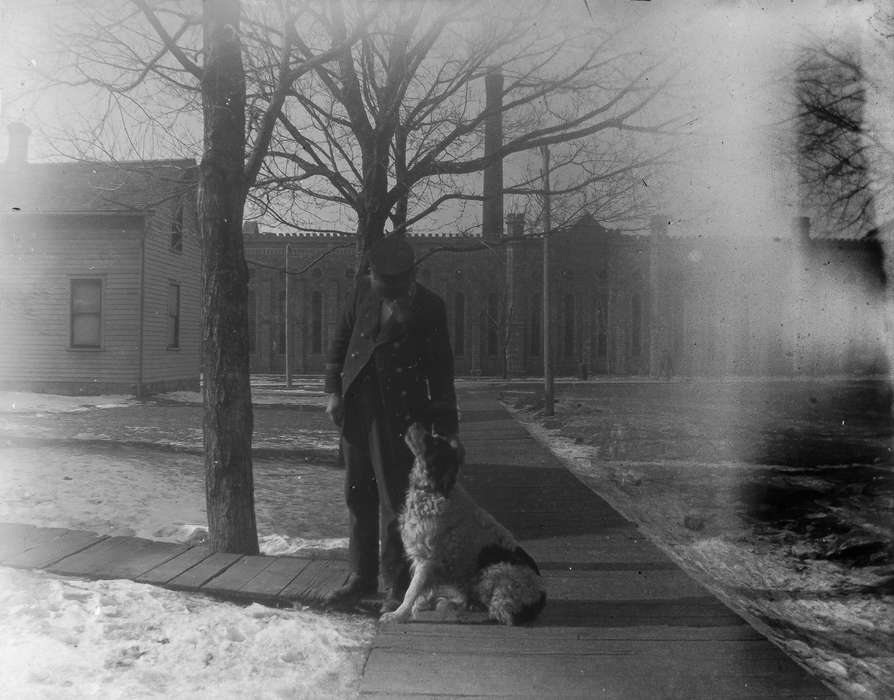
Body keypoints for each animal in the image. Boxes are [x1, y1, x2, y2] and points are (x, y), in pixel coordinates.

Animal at [380, 422, 544, 624]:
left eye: (434, 442)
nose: (416, 423)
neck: (434, 491)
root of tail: (540, 597)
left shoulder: (427, 560)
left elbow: (411, 591)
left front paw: (398, 615)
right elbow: (421, 591)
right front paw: (419, 605)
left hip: (494, 572)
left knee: (502, 613)